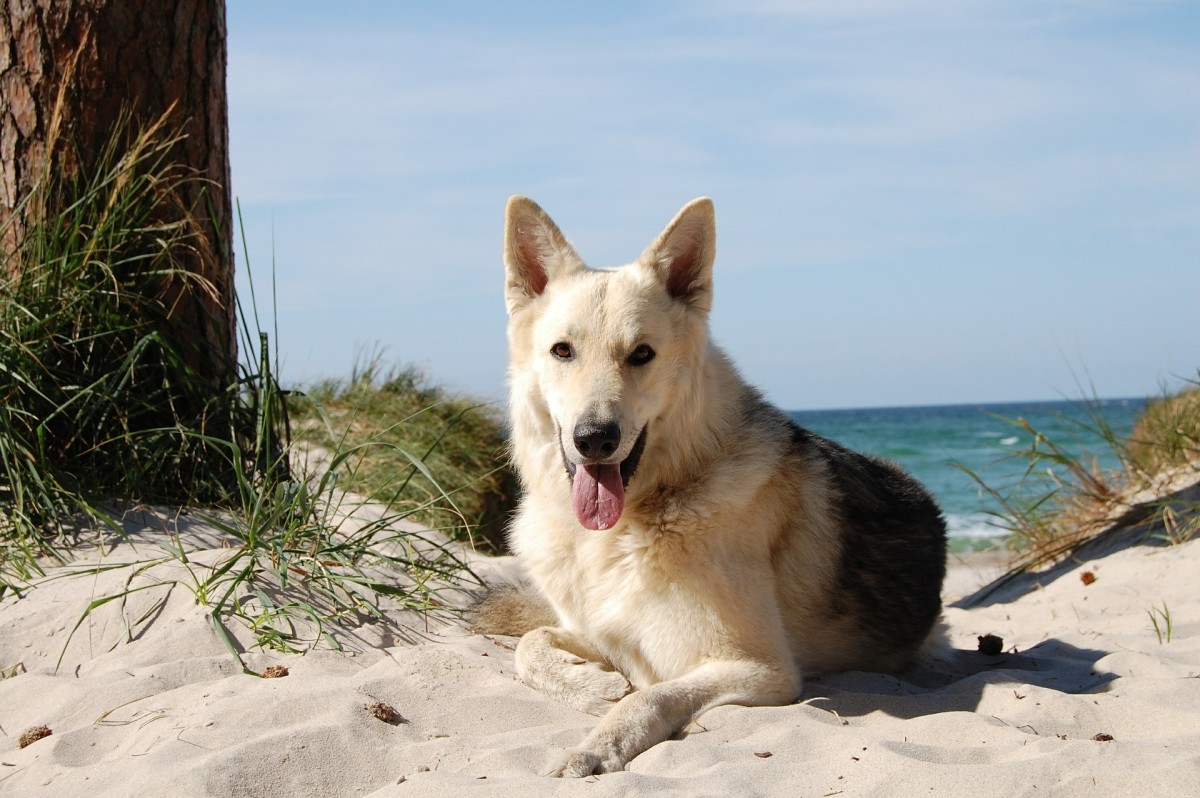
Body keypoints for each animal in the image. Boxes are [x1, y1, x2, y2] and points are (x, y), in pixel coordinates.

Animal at [477, 195, 945, 772]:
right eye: (562, 351)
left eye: (642, 354)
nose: (594, 440)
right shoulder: (602, 634)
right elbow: (531, 644)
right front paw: (593, 688)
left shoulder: (759, 668)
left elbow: (649, 697)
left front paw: (597, 746)